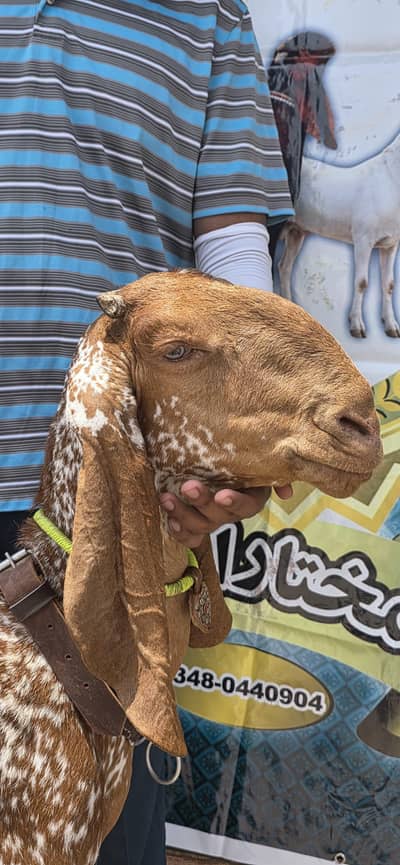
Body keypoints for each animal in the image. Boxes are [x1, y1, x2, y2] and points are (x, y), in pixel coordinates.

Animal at [278, 130, 400, 338]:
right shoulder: (363, 238)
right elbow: (361, 282)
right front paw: (357, 327)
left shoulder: (390, 243)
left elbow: (389, 285)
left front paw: (392, 327)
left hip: (296, 231)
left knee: (284, 266)